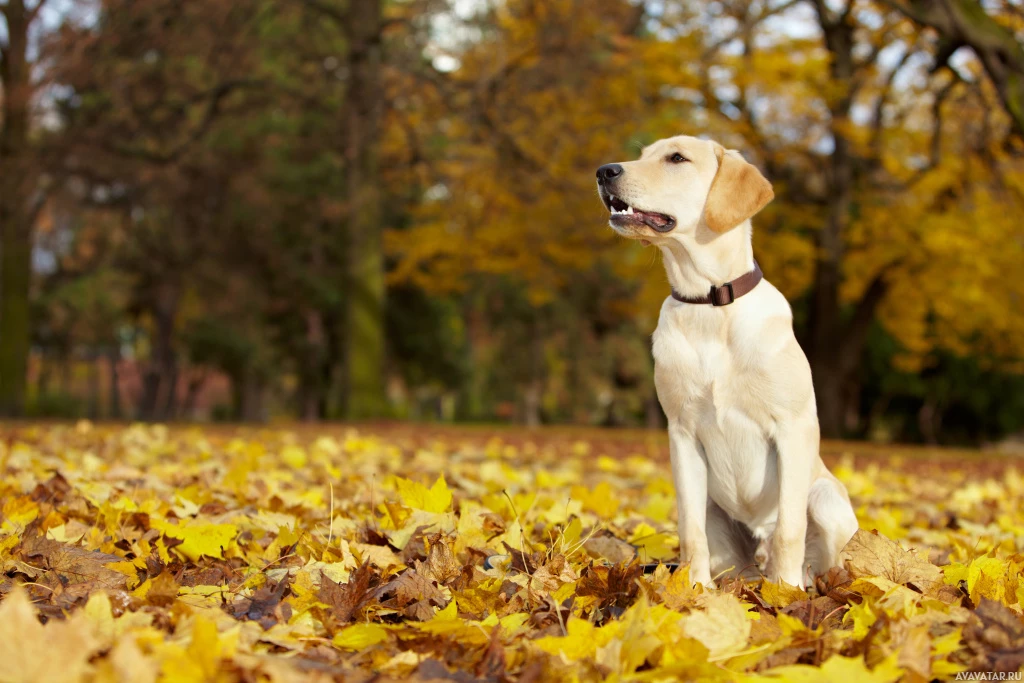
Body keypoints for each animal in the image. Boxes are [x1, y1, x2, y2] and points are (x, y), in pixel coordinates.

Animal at [598, 135, 860, 589]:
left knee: (817, 555)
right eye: (643, 153)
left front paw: (785, 593)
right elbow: (690, 532)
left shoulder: (793, 427)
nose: (603, 172)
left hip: (827, 500)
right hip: (716, 515)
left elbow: (790, 528)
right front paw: (694, 591)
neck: (711, 302)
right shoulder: (682, 434)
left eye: (677, 158)